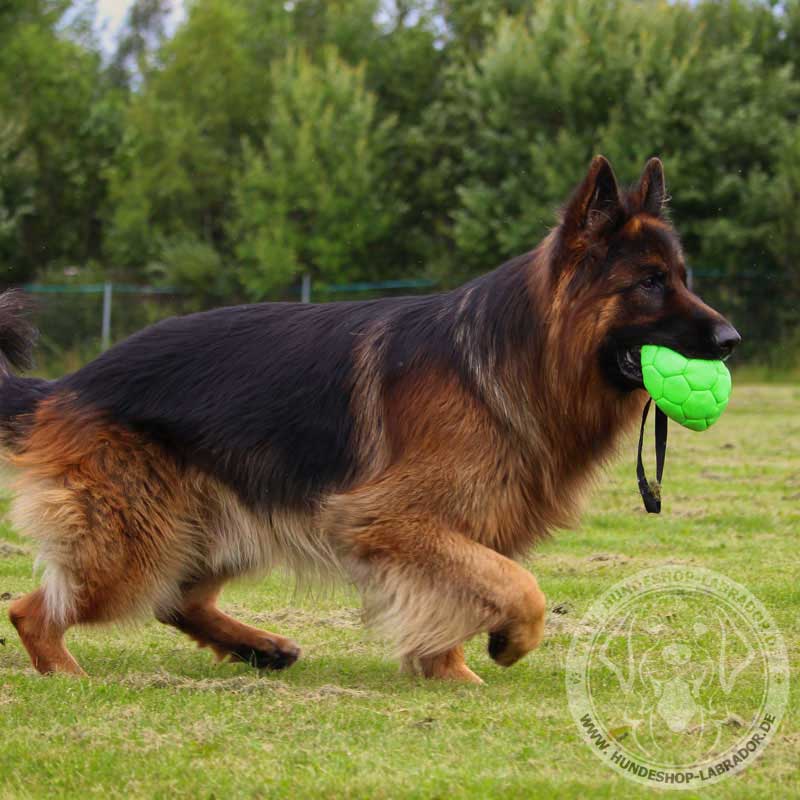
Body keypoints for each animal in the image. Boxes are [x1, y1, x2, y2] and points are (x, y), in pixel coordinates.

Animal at [1, 156, 736, 680]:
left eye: (683, 277)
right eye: (649, 283)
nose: (731, 341)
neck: (515, 358)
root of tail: (70, 383)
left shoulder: (451, 530)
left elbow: (466, 595)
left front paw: (446, 671)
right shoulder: (389, 519)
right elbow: (519, 586)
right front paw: (505, 644)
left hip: (216, 526)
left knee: (178, 600)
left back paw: (259, 648)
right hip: (137, 542)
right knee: (33, 609)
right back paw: (68, 674)